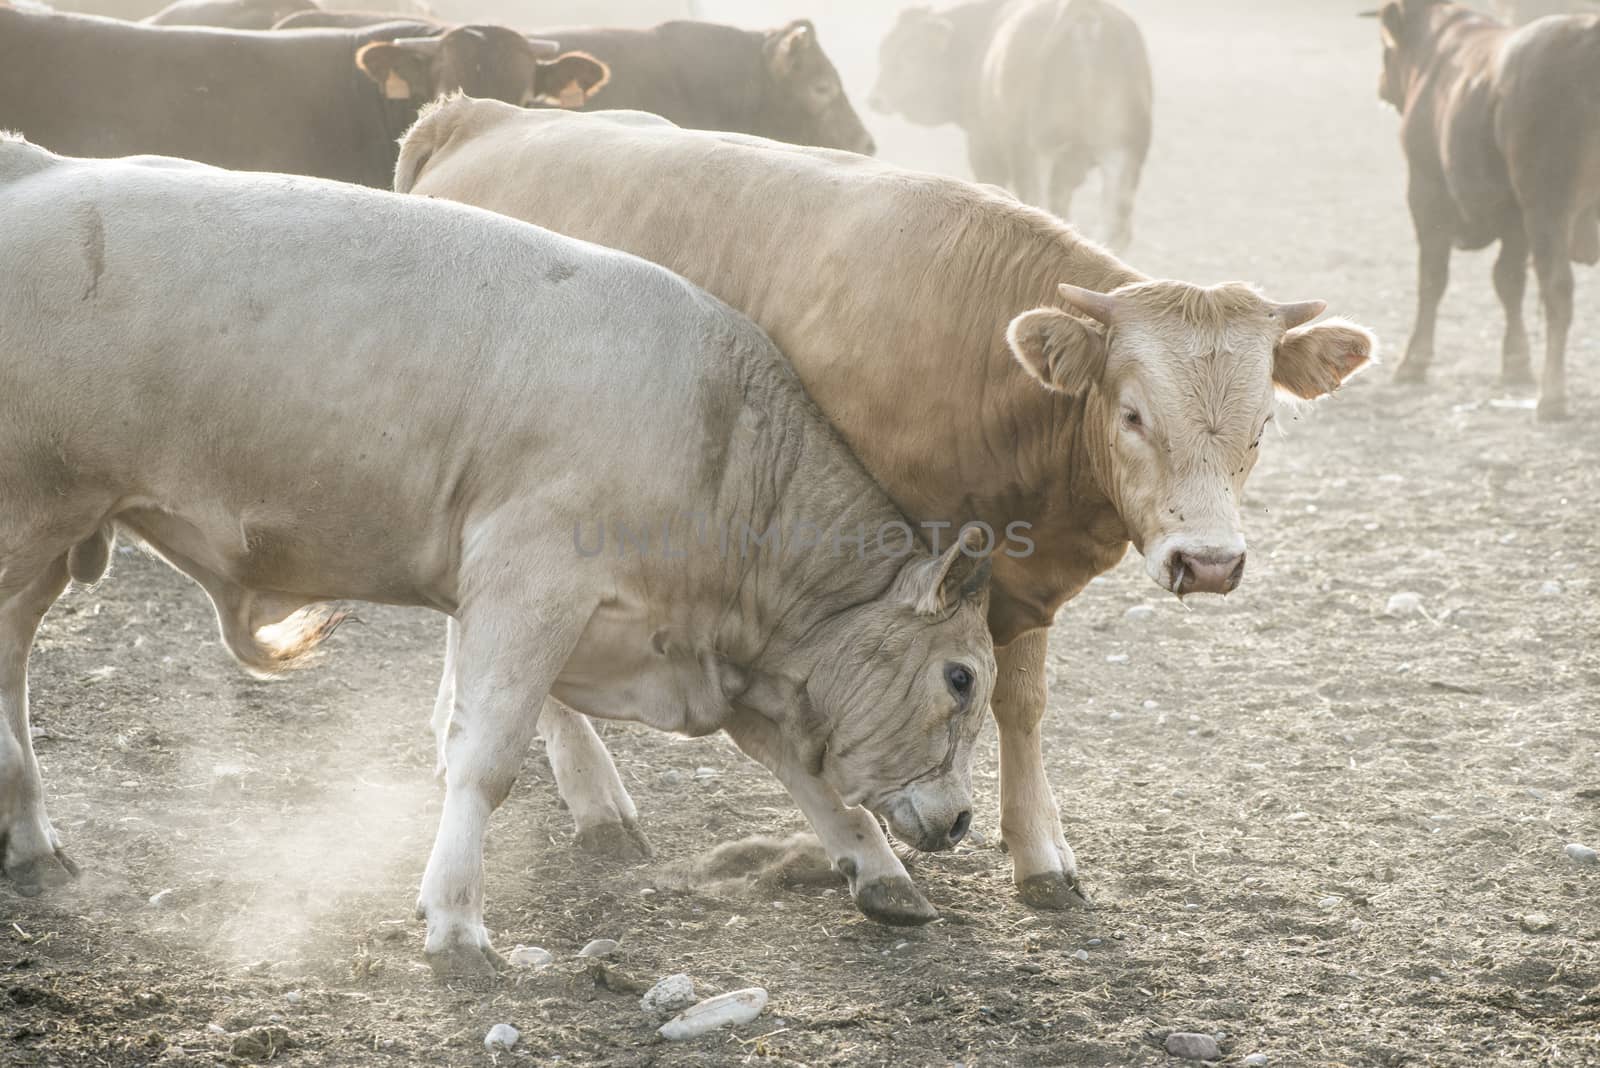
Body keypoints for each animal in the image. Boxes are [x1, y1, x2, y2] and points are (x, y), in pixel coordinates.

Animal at [0, 133, 998, 978]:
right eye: (960, 679)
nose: (960, 819)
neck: (724, 446)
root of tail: (39, 165)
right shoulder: (532, 581)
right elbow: (484, 757)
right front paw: (456, 920)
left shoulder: (718, 653)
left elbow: (801, 767)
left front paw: (879, 871)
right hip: (29, 516)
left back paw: (32, 844)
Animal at [390, 99, 1376, 914]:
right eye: (1133, 414)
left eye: (1262, 426)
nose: (1210, 563)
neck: (977, 364)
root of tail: (477, 115)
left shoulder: (1010, 577)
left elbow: (1021, 702)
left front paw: (1040, 854)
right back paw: (597, 800)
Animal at [1376, 1, 1600, 422]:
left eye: (1386, 49)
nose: (1381, 85)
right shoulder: (1515, 219)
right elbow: (1508, 281)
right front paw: (1516, 361)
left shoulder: (1426, 193)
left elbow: (1432, 279)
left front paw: (1414, 360)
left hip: (1548, 208)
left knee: (1557, 290)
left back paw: (1552, 396)